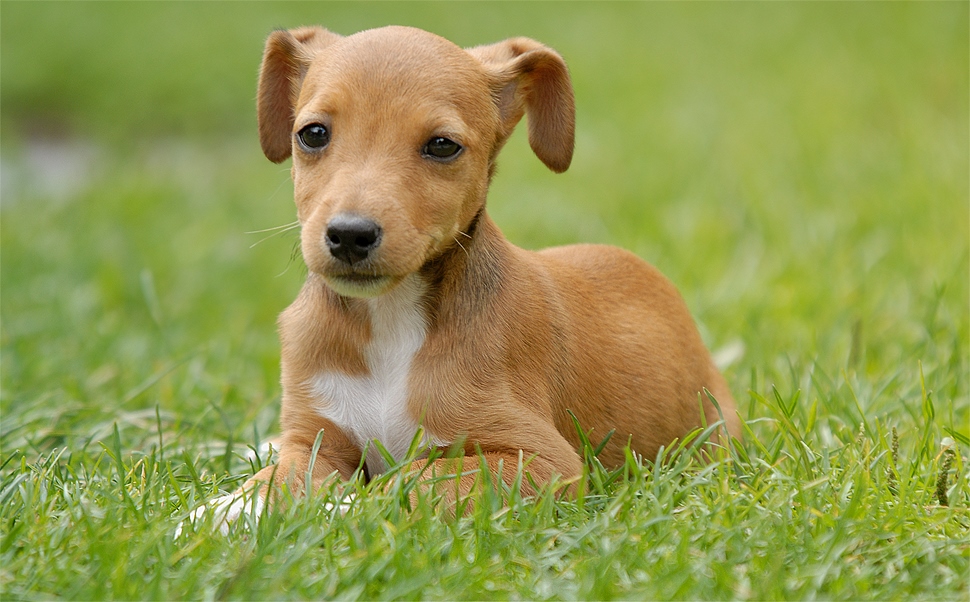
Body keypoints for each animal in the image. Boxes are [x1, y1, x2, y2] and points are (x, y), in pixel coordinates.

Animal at [183, 24, 740, 528]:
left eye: (442, 146)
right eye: (312, 133)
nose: (349, 235)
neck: (390, 322)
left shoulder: (541, 461)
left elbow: (413, 481)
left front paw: (343, 511)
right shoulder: (313, 438)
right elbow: (277, 477)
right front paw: (227, 509)